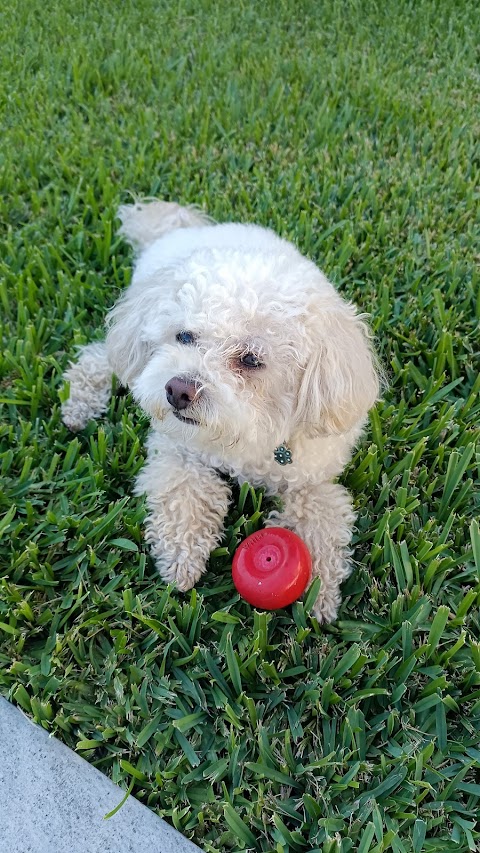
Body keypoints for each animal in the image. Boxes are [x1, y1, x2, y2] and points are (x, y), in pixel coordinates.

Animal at [62, 203, 380, 624]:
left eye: (251, 359)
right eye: (184, 336)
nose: (177, 391)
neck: (252, 433)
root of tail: (178, 230)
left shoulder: (313, 479)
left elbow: (321, 521)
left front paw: (320, 595)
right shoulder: (181, 451)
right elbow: (185, 495)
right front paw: (181, 562)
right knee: (103, 355)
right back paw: (77, 407)